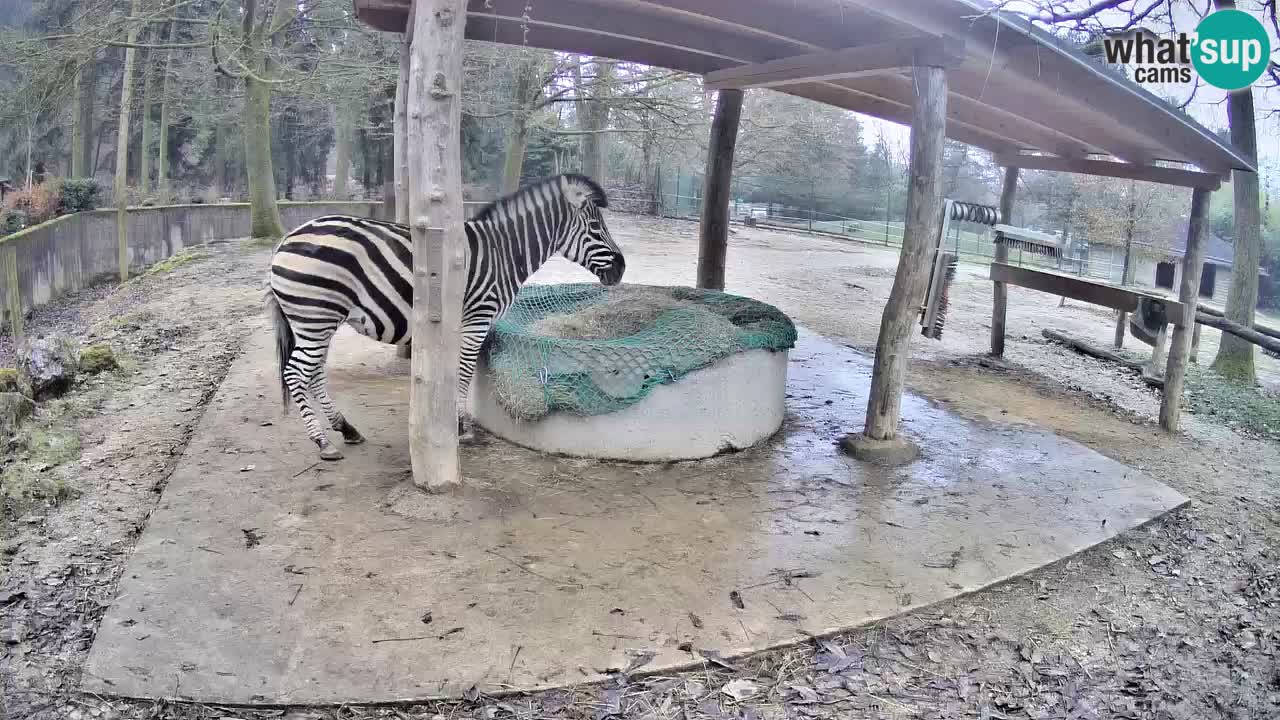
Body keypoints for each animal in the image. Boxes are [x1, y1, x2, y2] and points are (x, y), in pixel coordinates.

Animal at [266, 174, 625, 461]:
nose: (621, 269)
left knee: (314, 374)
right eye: (596, 227)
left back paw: (345, 427)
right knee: (296, 373)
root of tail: (286, 238)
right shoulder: (478, 318)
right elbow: (464, 372)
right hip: (316, 318)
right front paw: (461, 426)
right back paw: (322, 442)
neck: (503, 253)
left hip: (316, 323)